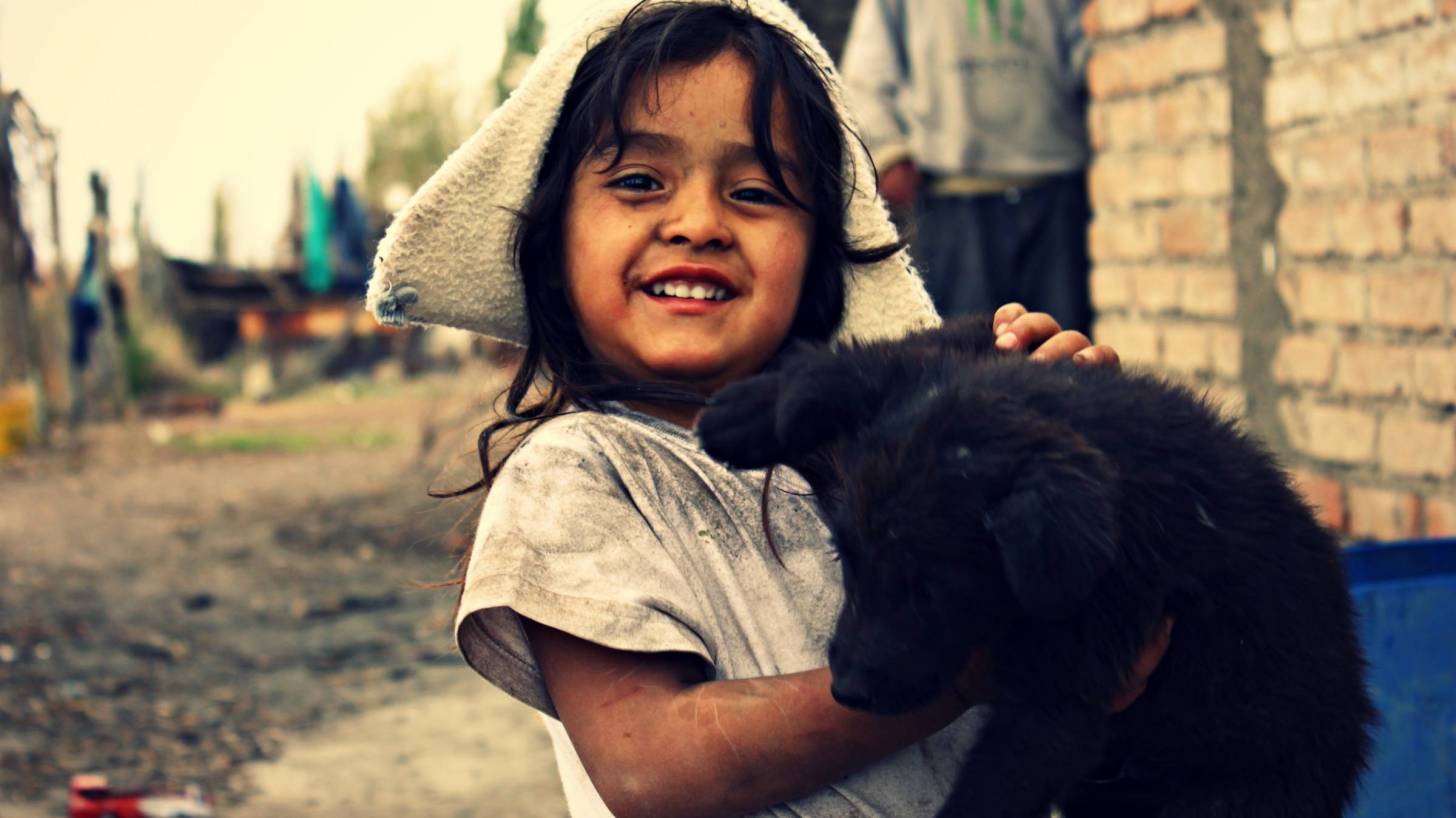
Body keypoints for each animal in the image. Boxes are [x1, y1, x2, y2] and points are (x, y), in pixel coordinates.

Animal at [698, 317, 1368, 815]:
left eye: (934, 589)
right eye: (845, 556)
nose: (847, 691)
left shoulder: (1068, 686)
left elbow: (997, 785)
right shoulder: (986, 357)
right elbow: (903, 349)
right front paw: (749, 409)